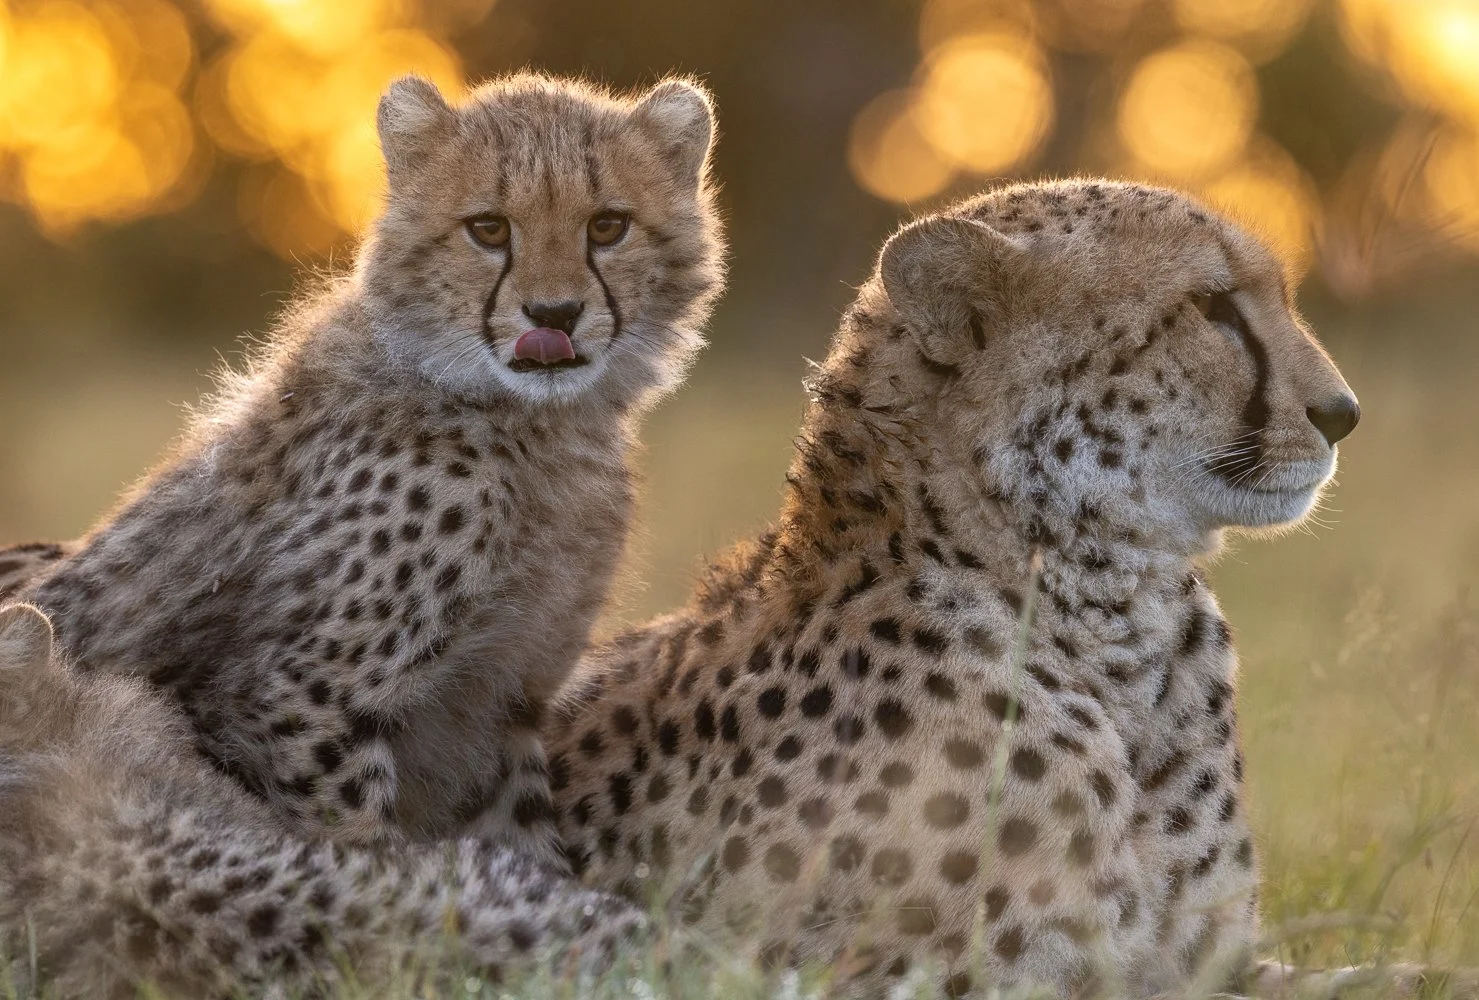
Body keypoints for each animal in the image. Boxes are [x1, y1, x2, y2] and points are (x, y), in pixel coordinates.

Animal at [16, 71, 724, 862]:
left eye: (607, 227)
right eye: (488, 229)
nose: (554, 314)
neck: (534, 426)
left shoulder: (503, 703)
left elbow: (523, 851)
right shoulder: (299, 692)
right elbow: (368, 854)